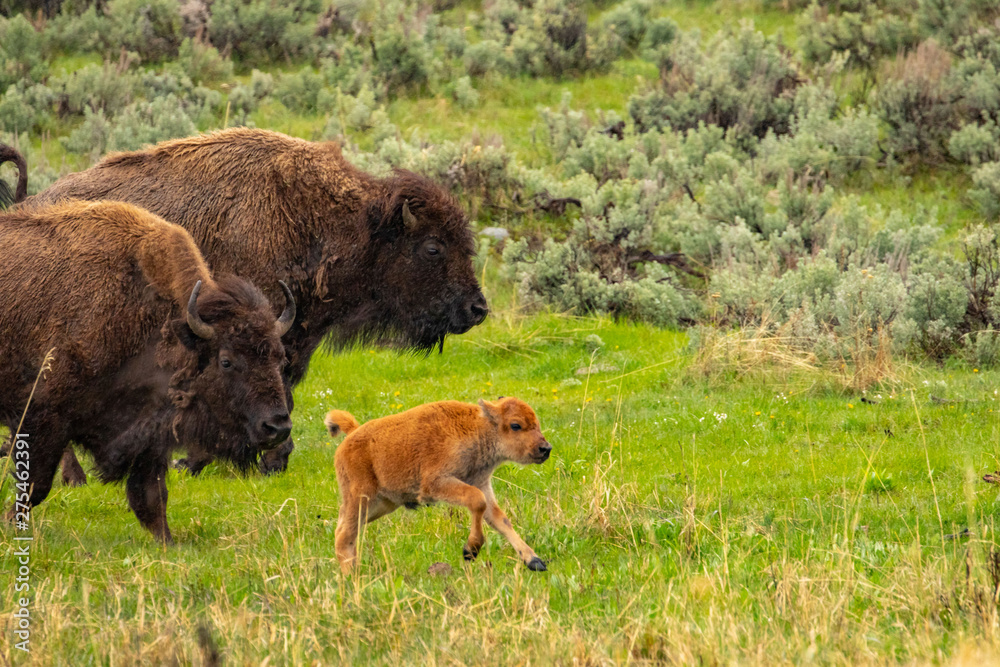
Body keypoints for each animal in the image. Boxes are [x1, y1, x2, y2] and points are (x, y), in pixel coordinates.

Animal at [0, 200, 295, 543]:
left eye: (280, 359)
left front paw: (168, 543)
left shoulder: (150, 430)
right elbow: (36, 485)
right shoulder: (43, 417)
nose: (277, 427)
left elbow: (152, 497)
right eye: (226, 360)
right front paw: (10, 524)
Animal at [7, 128, 488, 479]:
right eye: (432, 247)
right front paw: (211, 460)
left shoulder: (288, 338)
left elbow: (282, 390)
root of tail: (27, 204)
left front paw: (270, 458)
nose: (477, 309)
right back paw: (73, 477)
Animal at [324, 398, 552, 573]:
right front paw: (470, 551)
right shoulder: (436, 484)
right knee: (344, 535)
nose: (545, 448)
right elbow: (476, 501)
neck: (477, 428)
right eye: (515, 425)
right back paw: (351, 577)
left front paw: (534, 561)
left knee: (347, 529)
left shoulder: (481, 484)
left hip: (382, 504)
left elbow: (500, 520)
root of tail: (352, 435)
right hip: (362, 497)